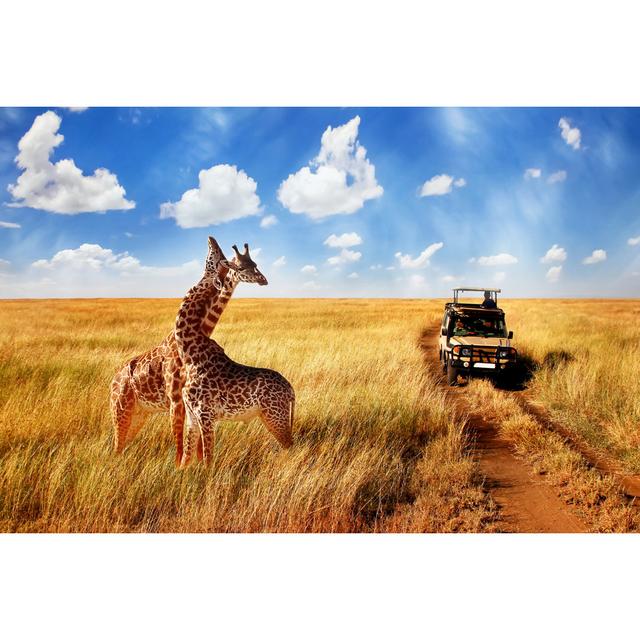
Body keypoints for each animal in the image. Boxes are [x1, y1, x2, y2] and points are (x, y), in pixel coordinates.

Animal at [109, 235, 264, 464]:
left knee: (122, 445)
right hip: (121, 410)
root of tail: (112, 381)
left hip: (139, 414)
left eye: (254, 264)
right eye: (241, 265)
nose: (263, 279)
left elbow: (194, 443)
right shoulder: (177, 400)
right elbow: (181, 443)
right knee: (117, 446)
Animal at [174, 242, 296, 468]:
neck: (190, 354)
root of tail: (291, 391)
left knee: (290, 446)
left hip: (275, 416)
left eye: (254, 265)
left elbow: (208, 459)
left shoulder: (206, 415)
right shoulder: (192, 417)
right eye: (241, 266)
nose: (263, 279)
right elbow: (186, 458)